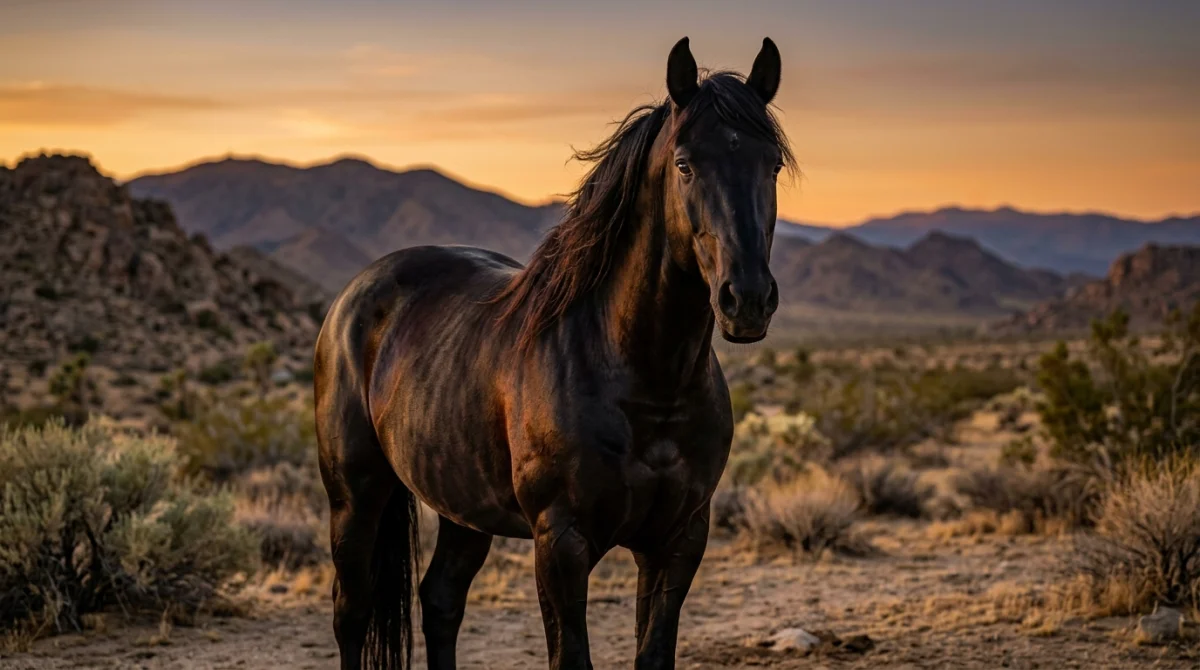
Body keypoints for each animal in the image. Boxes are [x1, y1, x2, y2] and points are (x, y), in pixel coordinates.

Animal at [314, 36, 793, 670]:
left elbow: (653, 653)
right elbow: (571, 657)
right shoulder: (561, 544)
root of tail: (355, 295)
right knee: (352, 612)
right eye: (685, 164)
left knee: (440, 600)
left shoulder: (679, 540)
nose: (748, 299)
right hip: (355, 498)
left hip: (464, 505)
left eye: (773, 165)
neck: (644, 379)